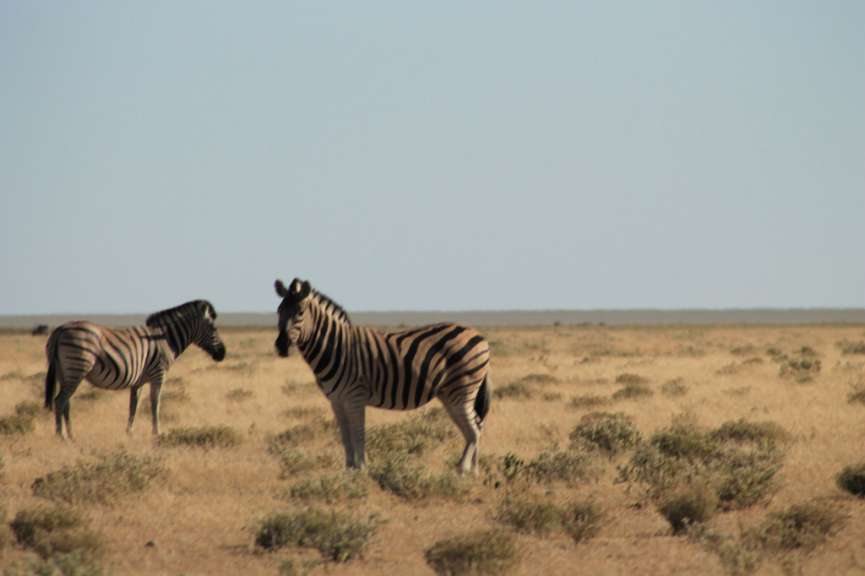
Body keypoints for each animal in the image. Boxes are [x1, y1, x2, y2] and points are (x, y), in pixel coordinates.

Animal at [44, 300, 226, 439]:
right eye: (214, 329)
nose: (223, 354)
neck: (166, 339)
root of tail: (60, 329)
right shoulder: (158, 374)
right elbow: (155, 404)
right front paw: (157, 433)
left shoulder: (138, 381)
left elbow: (134, 406)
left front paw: (129, 432)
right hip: (77, 368)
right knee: (60, 400)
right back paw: (62, 436)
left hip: (64, 372)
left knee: (66, 402)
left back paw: (71, 435)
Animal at [274, 278, 492, 474]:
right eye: (278, 311)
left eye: (300, 312)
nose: (281, 346)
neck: (336, 347)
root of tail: (478, 335)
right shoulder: (336, 400)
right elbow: (345, 436)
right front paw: (348, 471)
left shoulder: (355, 396)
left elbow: (359, 434)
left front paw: (361, 470)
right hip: (450, 394)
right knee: (476, 426)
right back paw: (474, 471)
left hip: (462, 389)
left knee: (474, 430)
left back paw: (462, 470)